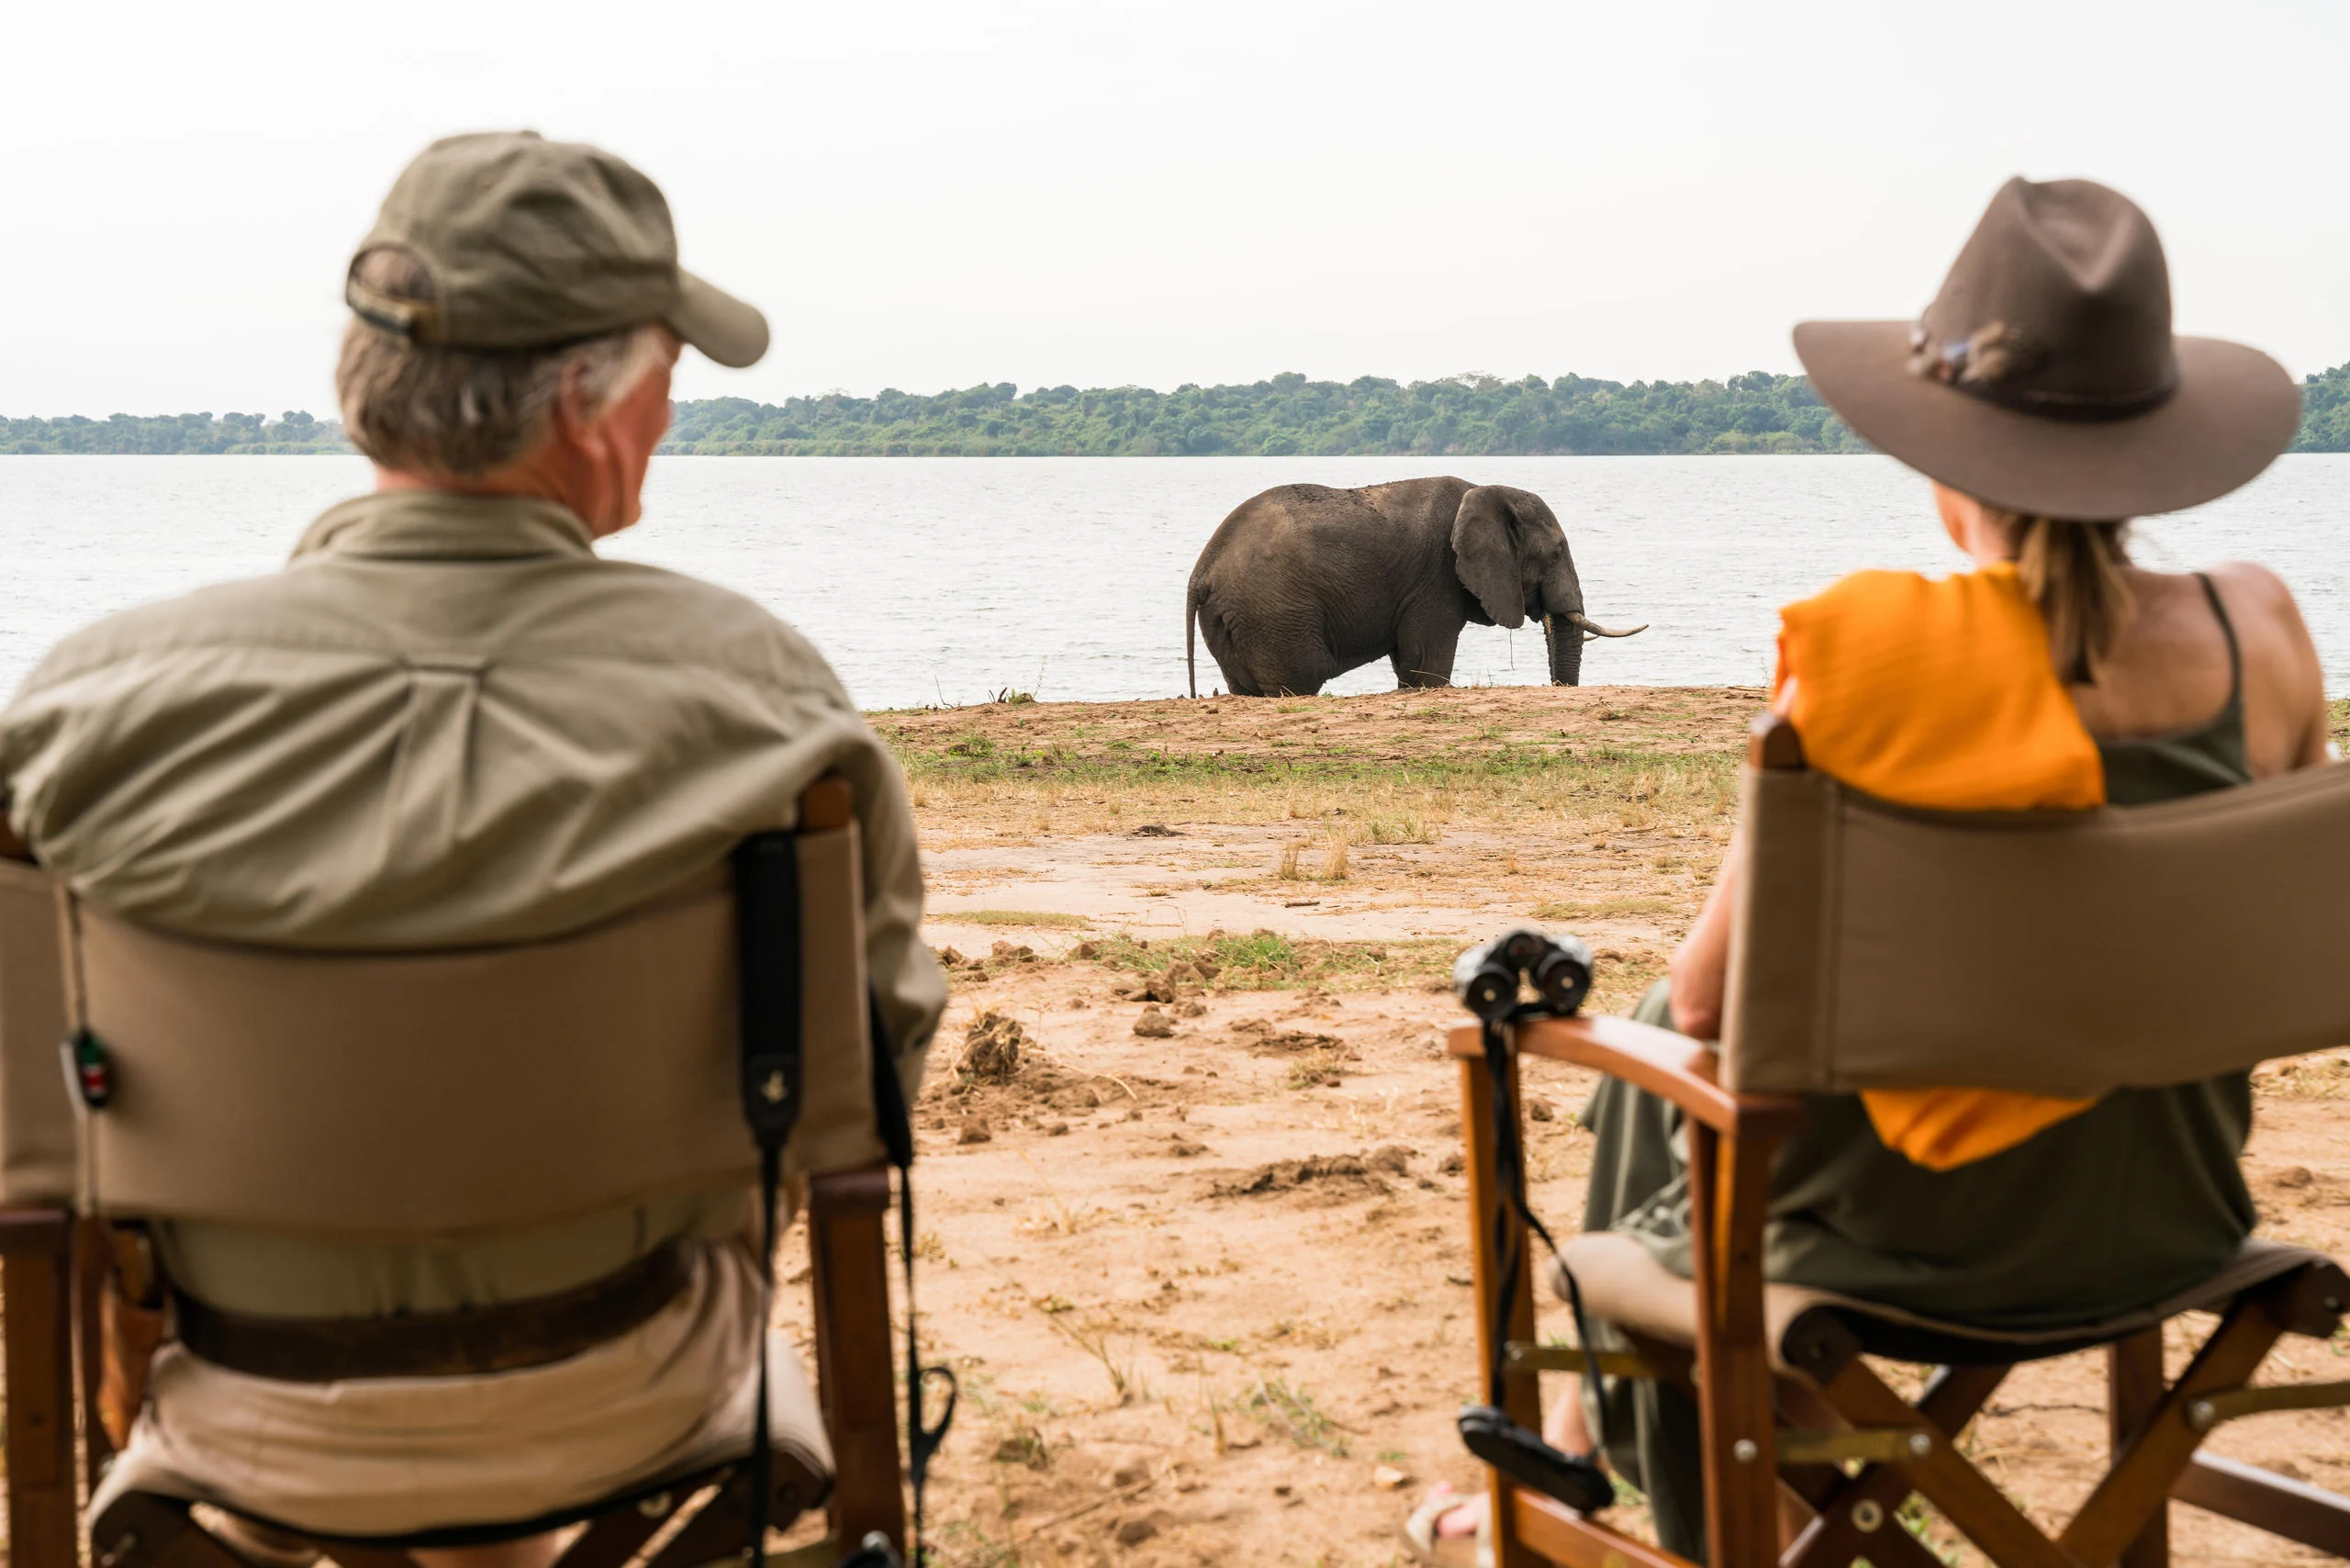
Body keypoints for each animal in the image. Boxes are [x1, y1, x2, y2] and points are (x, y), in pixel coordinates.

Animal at [1185, 477, 1644, 697]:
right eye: (1556, 552)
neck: (1484, 491)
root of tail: (1201, 572)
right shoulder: (1436, 577)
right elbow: (1425, 664)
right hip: (1276, 613)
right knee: (1299, 680)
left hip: (1236, 617)